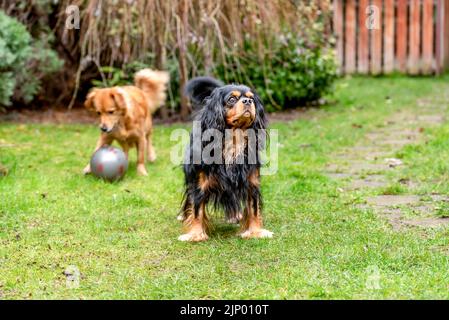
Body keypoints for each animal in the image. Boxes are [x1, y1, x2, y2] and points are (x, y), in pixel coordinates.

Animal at [178, 77, 272, 241]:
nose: (248, 101)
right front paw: (196, 234)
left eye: (252, 98)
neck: (233, 140)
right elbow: (197, 209)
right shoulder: (199, 183)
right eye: (232, 99)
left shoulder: (252, 181)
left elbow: (253, 208)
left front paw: (255, 232)